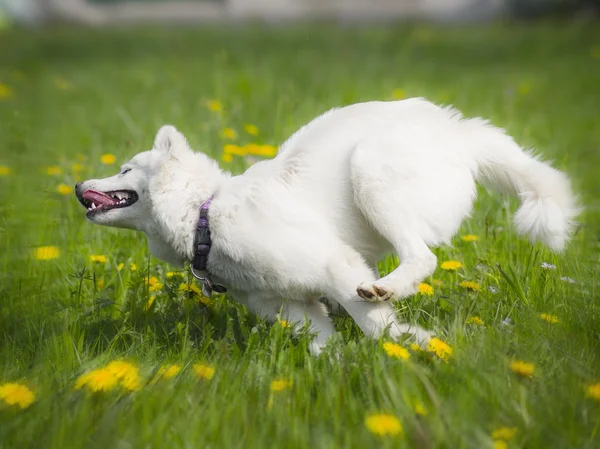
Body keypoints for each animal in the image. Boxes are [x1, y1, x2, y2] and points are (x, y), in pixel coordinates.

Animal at [74, 98, 576, 354]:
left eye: (124, 169)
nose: (78, 184)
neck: (206, 214)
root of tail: (460, 133)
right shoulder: (292, 307)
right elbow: (323, 343)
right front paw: (335, 372)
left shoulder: (336, 266)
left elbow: (373, 324)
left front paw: (413, 345)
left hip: (370, 170)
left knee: (422, 257)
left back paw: (388, 287)